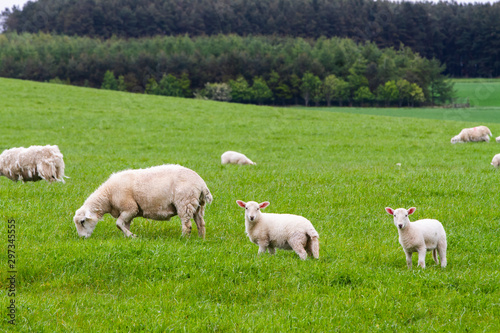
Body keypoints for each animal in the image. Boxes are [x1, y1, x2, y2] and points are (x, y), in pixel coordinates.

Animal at [73, 163, 213, 236]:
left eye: (82, 221)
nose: (83, 238)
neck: (108, 196)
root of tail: (201, 184)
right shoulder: (128, 212)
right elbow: (123, 225)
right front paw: (128, 236)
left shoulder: (130, 208)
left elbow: (118, 224)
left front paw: (132, 236)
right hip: (198, 205)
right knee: (200, 223)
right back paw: (200, 239)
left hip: (185, 202)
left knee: (187, 225)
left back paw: (183, 239)